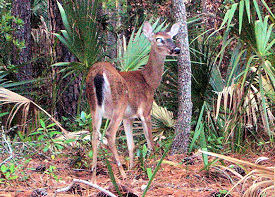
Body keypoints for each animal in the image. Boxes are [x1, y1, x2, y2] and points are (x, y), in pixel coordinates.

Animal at [86, 20, 181, 179]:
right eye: (159, 39)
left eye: (172, 37)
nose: (177, 49)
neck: (149, 81)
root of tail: (99, 73)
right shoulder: (145, 111)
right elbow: (150, 141)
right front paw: (151, 166)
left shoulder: (128, 117)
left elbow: (131, 145)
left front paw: (131, 167)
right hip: (118, 104)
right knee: (109, 134)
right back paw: (121, 173)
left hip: (94, 106)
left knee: (94, 134)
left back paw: (93, 175)